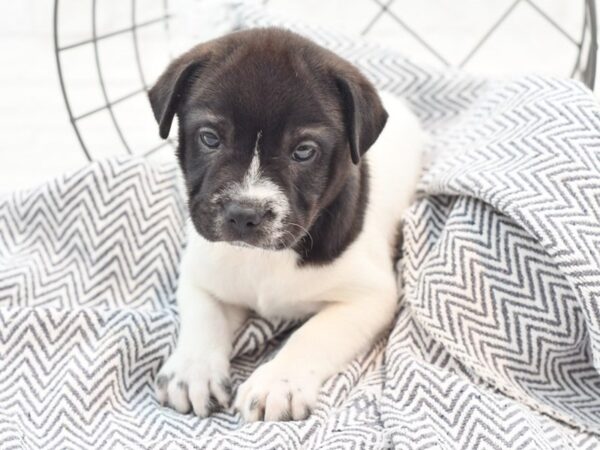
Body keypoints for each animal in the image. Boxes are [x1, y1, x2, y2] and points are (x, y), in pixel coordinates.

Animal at [148, 28, 424, 422]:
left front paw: (276, 382)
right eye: (210, 138)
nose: (243, 213)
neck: (263, 258)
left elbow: (313, 334)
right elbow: (203, 317)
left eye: (304, 151)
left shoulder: (369, 298)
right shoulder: (201, 274)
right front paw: (192, 371)